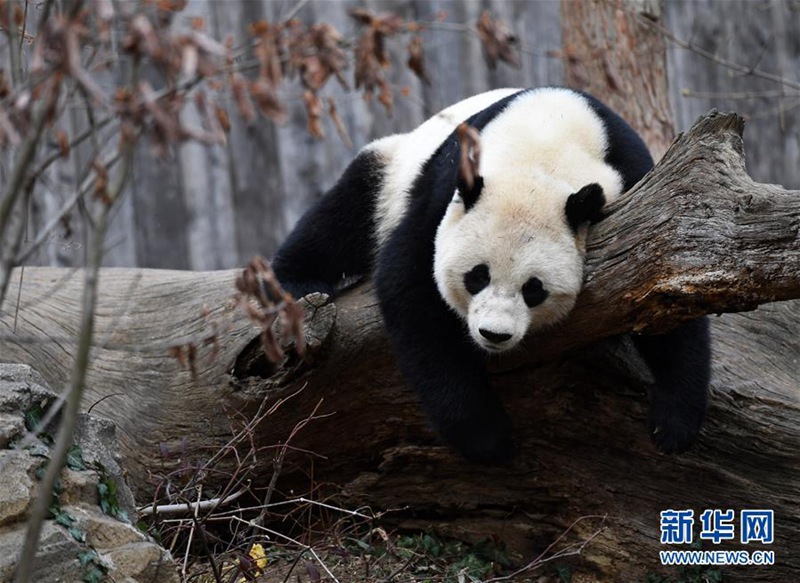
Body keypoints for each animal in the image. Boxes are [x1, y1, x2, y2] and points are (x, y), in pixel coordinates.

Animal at [272, 87, 711, 464]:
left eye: (533, 289)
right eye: (476, 277)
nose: (494, 335)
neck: (542, 145)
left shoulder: (634, 179)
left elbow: (663, 274)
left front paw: (674, 422)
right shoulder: (443, 194)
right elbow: (411, 289)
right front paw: (488, 438)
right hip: (391, 169)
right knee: (342, 215)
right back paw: (295, 283)